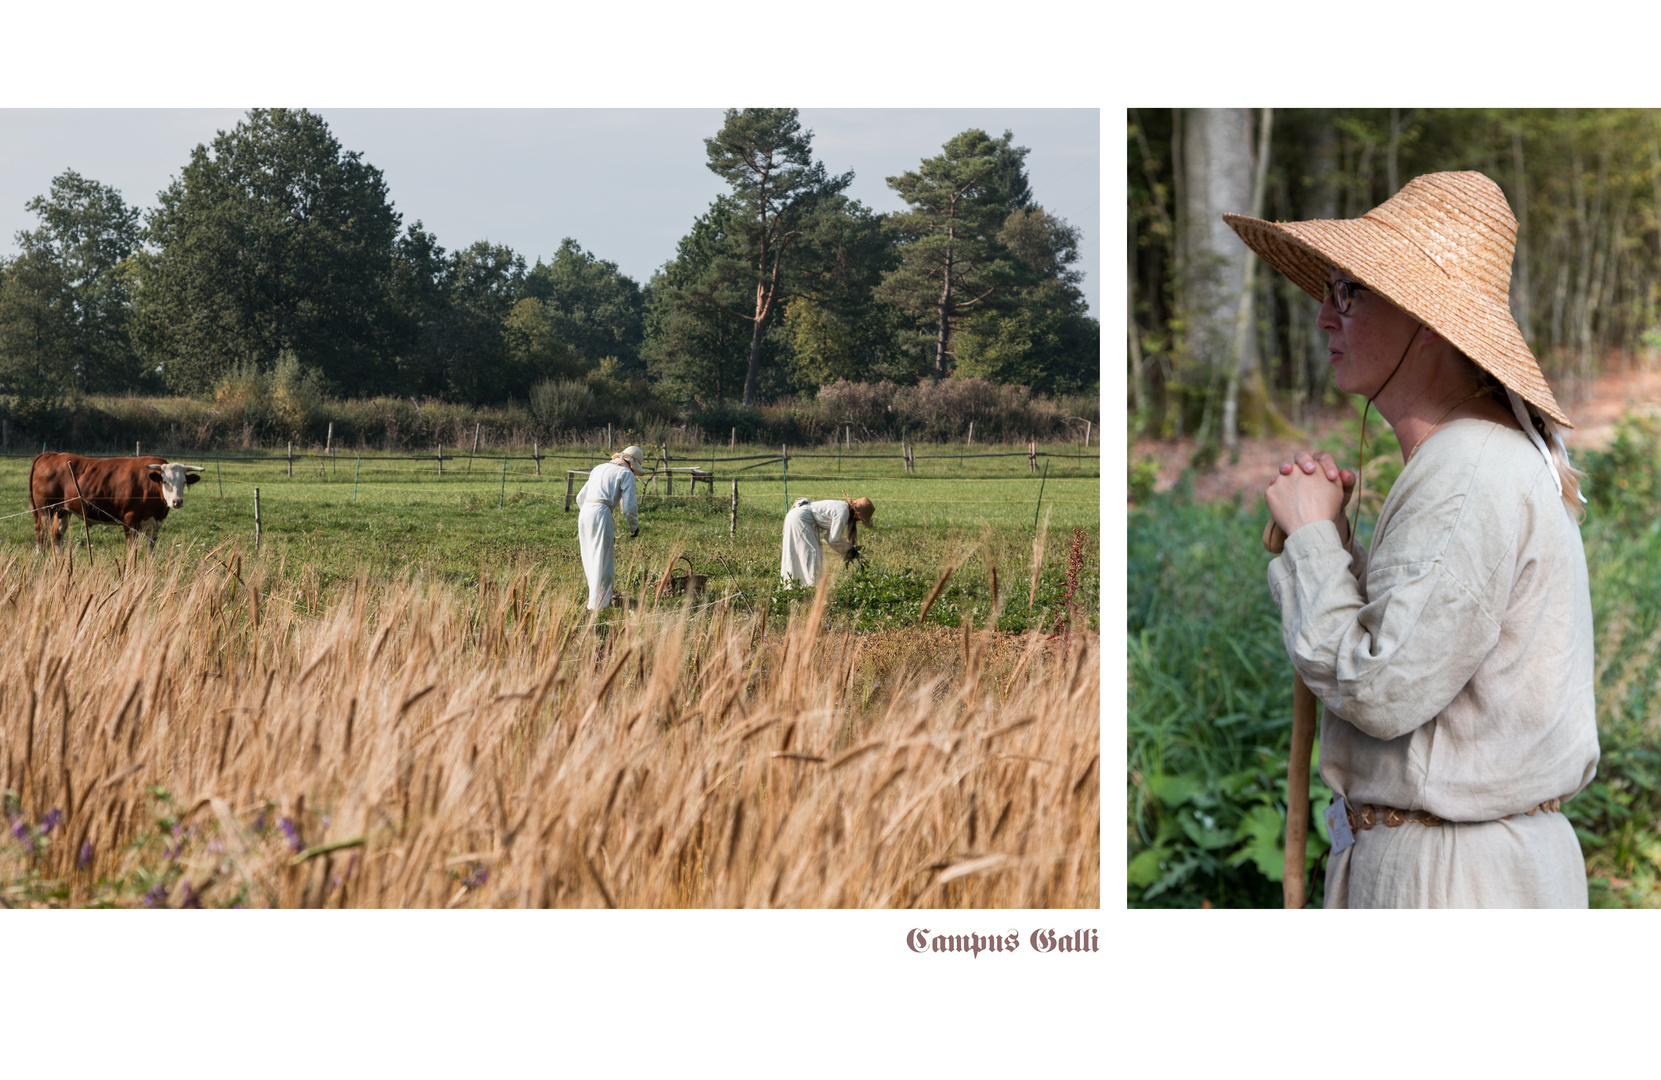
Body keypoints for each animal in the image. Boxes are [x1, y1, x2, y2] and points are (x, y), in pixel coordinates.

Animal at [28, 455, 205, 554]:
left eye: (184, 482)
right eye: (166, 481)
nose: (177, 501)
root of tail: (51, 454)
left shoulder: (155, 525)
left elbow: (150, 549)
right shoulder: (130, 521)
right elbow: (132, 550)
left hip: (62, 510)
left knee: (56, 533)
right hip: (45, 509)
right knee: (41, 532)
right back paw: (40, 557)